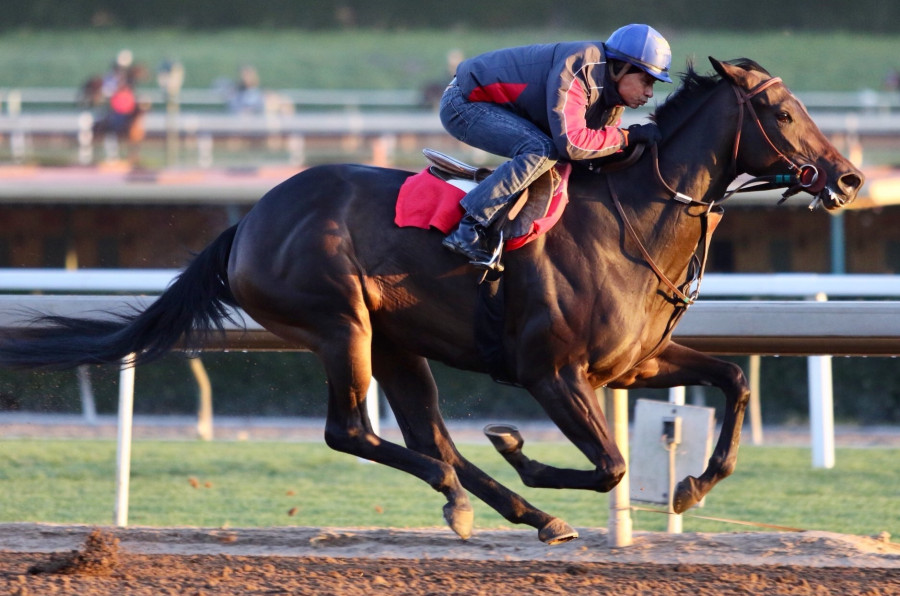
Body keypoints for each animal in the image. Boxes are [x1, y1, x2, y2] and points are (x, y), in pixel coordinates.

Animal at [0, 59, 864, 544]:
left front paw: (691, 485)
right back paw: (476, 494)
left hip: (396, 343)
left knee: (429, 437)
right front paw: (525, 453)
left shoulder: (633, 362)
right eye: (783, 111)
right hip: (339, 324)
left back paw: (510, 511)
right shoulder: (552, 373)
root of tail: (248, 221)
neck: (630, 219)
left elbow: (733, 379)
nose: (850, 177)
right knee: (355, 432)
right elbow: (612, 463)